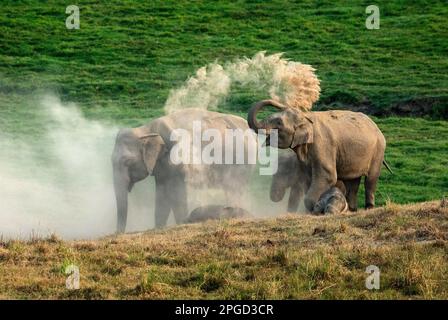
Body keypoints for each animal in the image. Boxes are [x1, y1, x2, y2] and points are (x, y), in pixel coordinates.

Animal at [113, 109, 256, 234]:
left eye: (127, 162)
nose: (117, 233)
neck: (146, 129)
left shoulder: (178, 158)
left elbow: (177, 193)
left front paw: (180, 223)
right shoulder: (161, 166)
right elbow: (162, 194)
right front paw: (159, 227)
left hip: (241, 162)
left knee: (235, 189)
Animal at [248, 99, 392, 211]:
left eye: (278, 123)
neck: (306, 117)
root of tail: (375, 125)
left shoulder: (323, 145)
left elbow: (328, 176)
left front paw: (313, 209)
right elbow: (308, 179)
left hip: (378, 150)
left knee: (371, 179)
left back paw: (369, 208)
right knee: (352, 182)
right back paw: (352, 209)